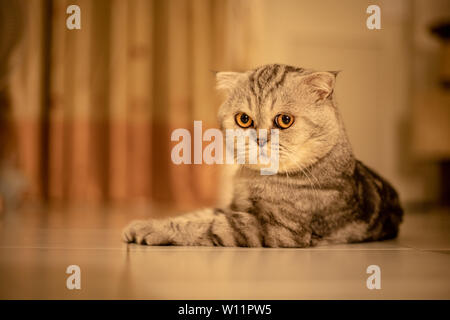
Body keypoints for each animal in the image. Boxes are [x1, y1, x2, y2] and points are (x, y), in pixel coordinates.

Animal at [122, 63, 404, 248]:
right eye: (243, 119)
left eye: (285, 120)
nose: (259, 140)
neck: (254, 179)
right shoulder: (233, 207)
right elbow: (198, 214)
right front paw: (143, 222)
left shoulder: (273, 229)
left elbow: (205, 225)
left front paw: (152, 228)